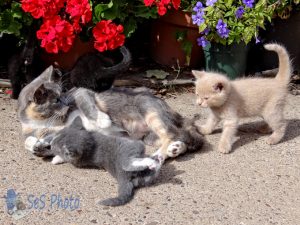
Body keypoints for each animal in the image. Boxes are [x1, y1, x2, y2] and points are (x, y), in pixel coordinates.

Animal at [17, 66, 203, 163]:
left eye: (63, 93)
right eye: (56, 100)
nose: (67, 102)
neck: (46, 121)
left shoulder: (82, 92)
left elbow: (87, 106)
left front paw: (102, 120)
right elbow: (33, 141)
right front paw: (40, 147)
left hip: (151, 112)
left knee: (171, 134)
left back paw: (159, 155)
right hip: (149, 137)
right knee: (182, 138)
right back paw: (175, 149)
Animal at [28, 117, 163, 207]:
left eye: (55, 145)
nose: (51, 144)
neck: (91, 143)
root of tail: (124, 177)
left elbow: (66, 158)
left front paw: (55, 158)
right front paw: (48, 150)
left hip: (130, 151)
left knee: (129, 164)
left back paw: (154, 160)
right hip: (143, 175)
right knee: (149, 170)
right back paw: (156, 160)